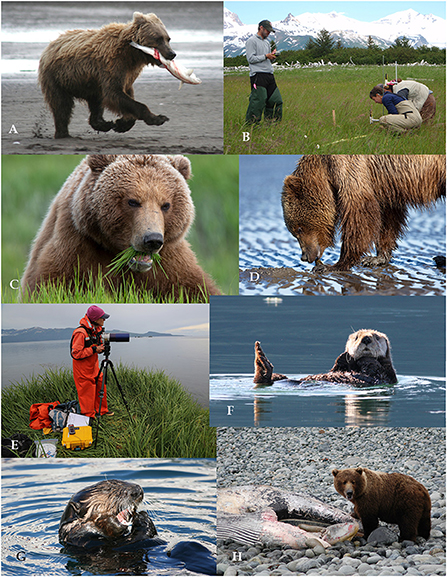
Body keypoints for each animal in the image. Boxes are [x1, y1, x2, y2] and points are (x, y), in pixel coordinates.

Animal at [21, 155, 221, 304]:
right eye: (133, 201)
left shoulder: (170, 264)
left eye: (166, 205)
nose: (152, 239)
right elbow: (53, 286)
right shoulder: (76, 247)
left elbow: (196, 290)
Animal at [38, 11, 176, 138]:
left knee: (95, 102)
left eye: (168, 38)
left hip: (89, 83)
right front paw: (159, 118)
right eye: (158, 38)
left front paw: (121, 124)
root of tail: (51, 44)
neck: (132, 54)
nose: (172, 53)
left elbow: (126, 94)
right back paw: (63, 133)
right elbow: (114, 93)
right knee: (62, 105)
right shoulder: (112, 65)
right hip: (57, 77)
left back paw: (103, 123)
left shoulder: (128, 73)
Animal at [254, 328, 398, 388]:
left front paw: (366, 360)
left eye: (376, 337)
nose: (366, 338)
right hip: (279, 377)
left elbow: (378, 370)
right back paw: (260, 357)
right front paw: (345, 356)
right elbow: (336, 367)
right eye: (357, 337)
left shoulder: (388, 375)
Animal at [282, 153, 446, 270]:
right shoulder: (384, 184)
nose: (304, 257)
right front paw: (377, 258)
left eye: (299, 229)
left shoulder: (349, 167)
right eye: (294, 231)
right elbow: (388, 218)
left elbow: (359, 213)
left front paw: (336, 264)